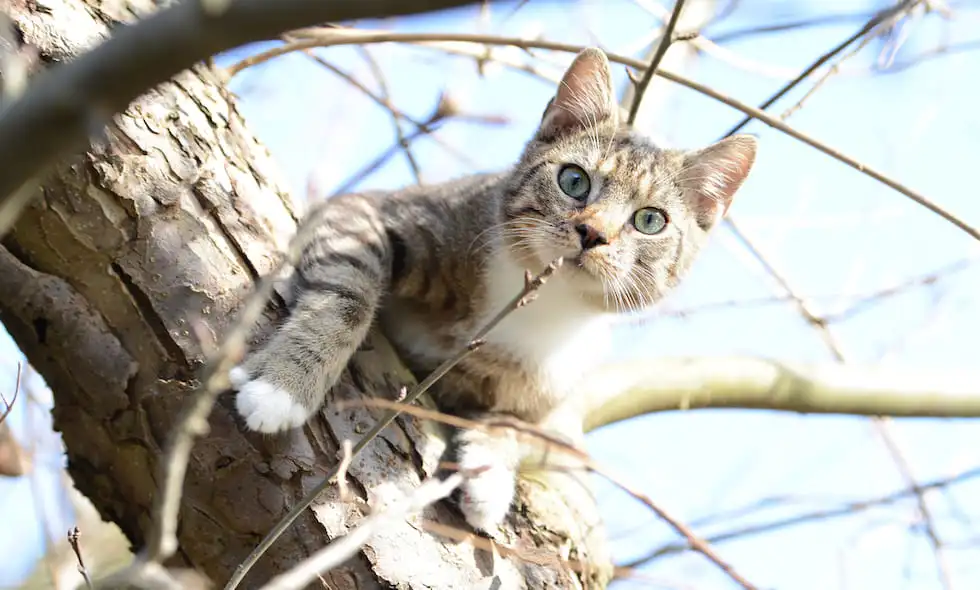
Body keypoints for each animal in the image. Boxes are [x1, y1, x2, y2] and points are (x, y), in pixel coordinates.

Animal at [232, 48, 756, 536]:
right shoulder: (367, 210)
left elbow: (511, 423)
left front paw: (488, 477)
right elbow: (346, 294)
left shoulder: (548, 393)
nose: (592, 233)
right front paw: (282, 387)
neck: (540, 303)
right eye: (574, 180)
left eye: (650, 220)